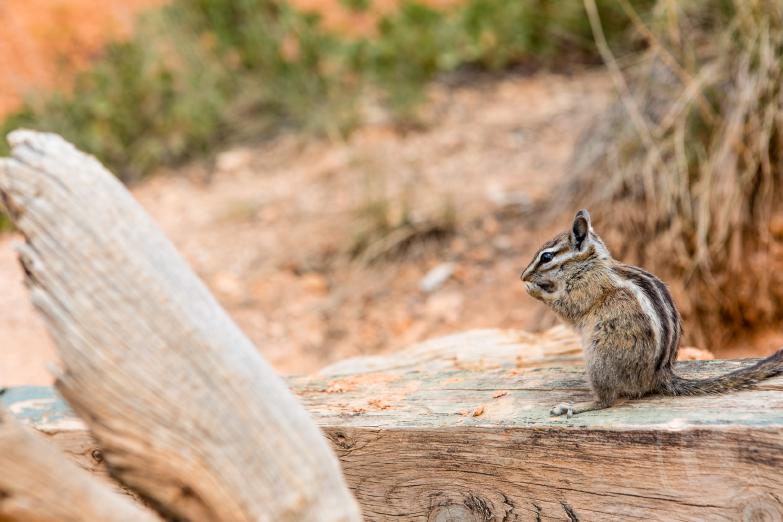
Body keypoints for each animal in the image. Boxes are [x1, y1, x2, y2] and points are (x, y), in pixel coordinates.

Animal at [520, 208, 783, 418]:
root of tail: (658, 375)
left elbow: (567, 306)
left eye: (546, 256)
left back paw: (576, 406)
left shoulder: (586, 288)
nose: (523, 276)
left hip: (599, 358)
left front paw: (535, 290)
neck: (589, 263)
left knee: (606, 401)